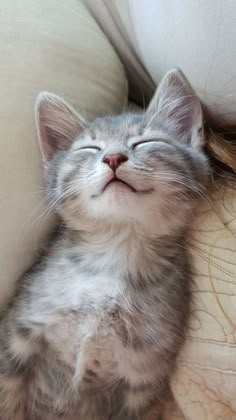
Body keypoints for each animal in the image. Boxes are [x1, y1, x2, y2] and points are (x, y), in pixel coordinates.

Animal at [0, 69, 209, 420]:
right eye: (90, 148)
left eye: (145, 142)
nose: (113, 157)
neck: (116, 252)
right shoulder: (18, 332)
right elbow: (7, 395)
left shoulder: (145, 383)